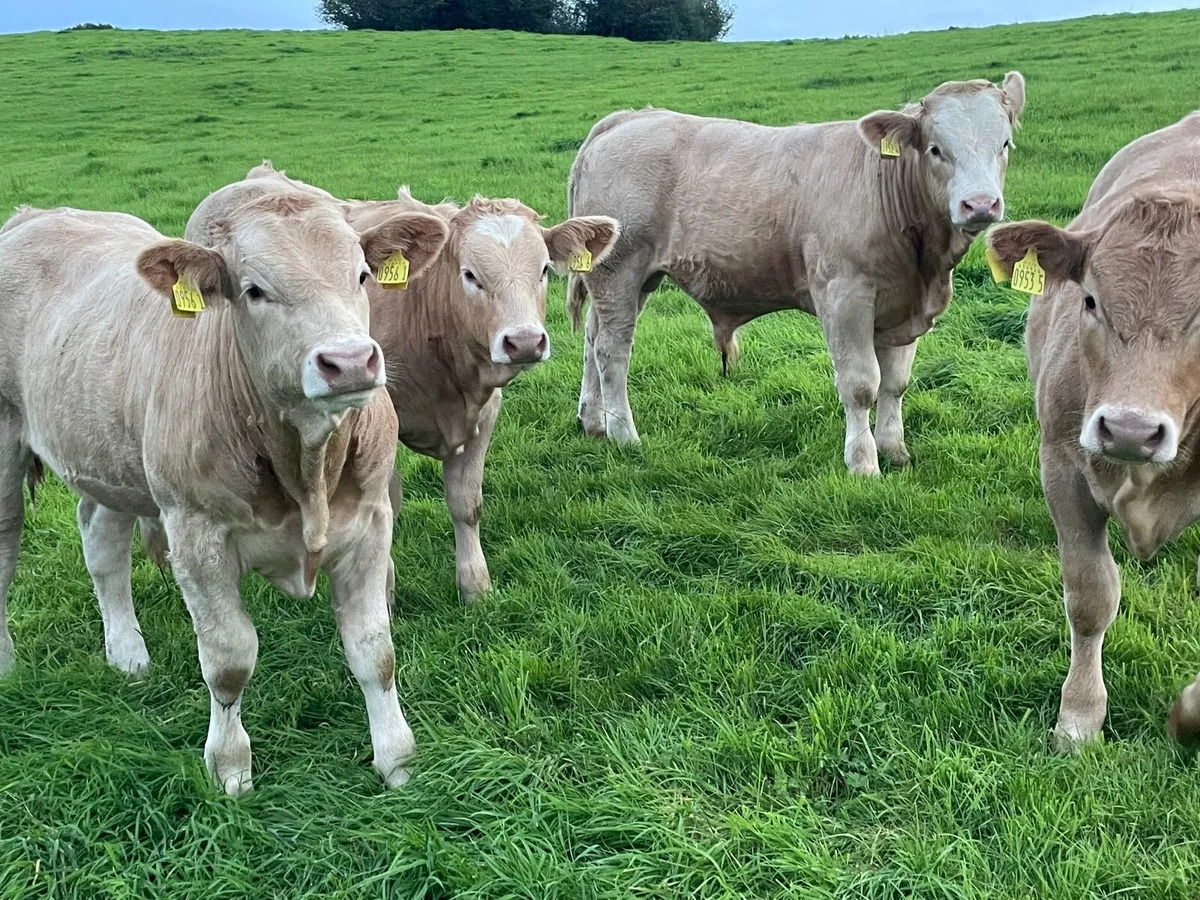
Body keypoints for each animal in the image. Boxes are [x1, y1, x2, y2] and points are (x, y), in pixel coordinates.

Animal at [0, 194, 449, 795]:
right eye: (254, 289)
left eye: (361, 275)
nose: (351, 361)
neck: (306, 468)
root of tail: (35, 214)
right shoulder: (195, 531)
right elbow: (229, 659)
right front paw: (231, 768)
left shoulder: (370, 523)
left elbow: (375, 650)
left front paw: (396, 761)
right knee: (7, 548)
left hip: (109, 456)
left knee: (102, 543)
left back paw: (128, 654)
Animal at [184, 163, 620, 600]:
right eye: (471, 275)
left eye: (544, 270)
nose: (525, 341)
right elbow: (385, 509)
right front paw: (386, 590)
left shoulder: (484, 416)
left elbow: (466, 504)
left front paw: (475, 586)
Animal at [567, 73, 1026, 474]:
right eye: (935, 149)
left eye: (1004, 144)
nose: (980, 204)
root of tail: (630, 117)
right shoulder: (844, 295)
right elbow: (861, 384)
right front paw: (864, 463)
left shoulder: (903, 305)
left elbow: (895, 383)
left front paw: (895, 451)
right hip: (619, 270)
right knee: (612, 350)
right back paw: (624, 435)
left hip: (630, 279)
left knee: (592, 339)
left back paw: (593, 422)